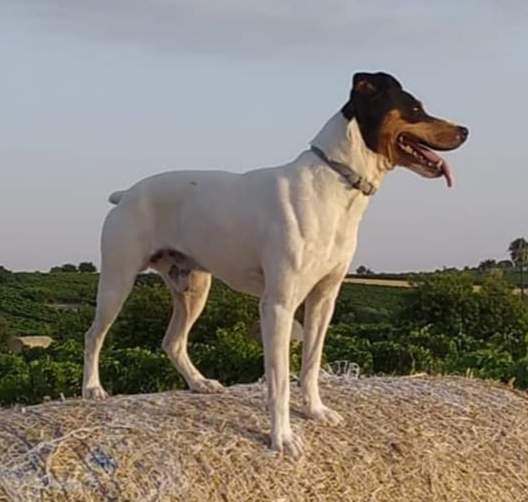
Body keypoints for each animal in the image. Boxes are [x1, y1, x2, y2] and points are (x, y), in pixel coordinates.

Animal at [83, 72, 470, 456]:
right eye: (415, 108)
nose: (465, 130)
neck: (335, 182)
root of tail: (126, 194)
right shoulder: (279, 305)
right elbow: (280, 380)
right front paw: (282, 437)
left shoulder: (323, 299)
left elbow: (311, 364)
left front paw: (315, 411)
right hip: (117, 281)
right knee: (94, 335)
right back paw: (92, 389)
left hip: (193, 288)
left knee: (172, 342)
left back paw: (199, 382)